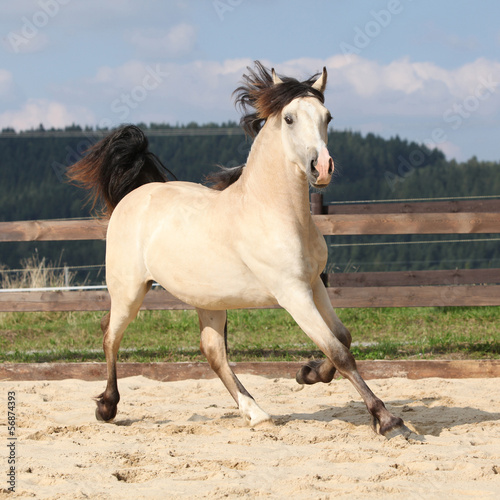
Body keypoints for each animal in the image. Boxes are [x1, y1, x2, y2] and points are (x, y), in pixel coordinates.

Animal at [66, 61, 410, 438]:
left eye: (327, 116)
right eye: (289, 118)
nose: (322, 168)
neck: (275, 212)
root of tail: (136, 195)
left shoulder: (314, 284)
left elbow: (342, 337)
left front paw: (307, 373)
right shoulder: (292, 293)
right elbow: (339, 351)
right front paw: (387, 419)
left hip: (209, 300)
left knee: (213, 352)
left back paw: (256, 412)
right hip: (128, 290)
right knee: (110, 336)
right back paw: (107, 407)